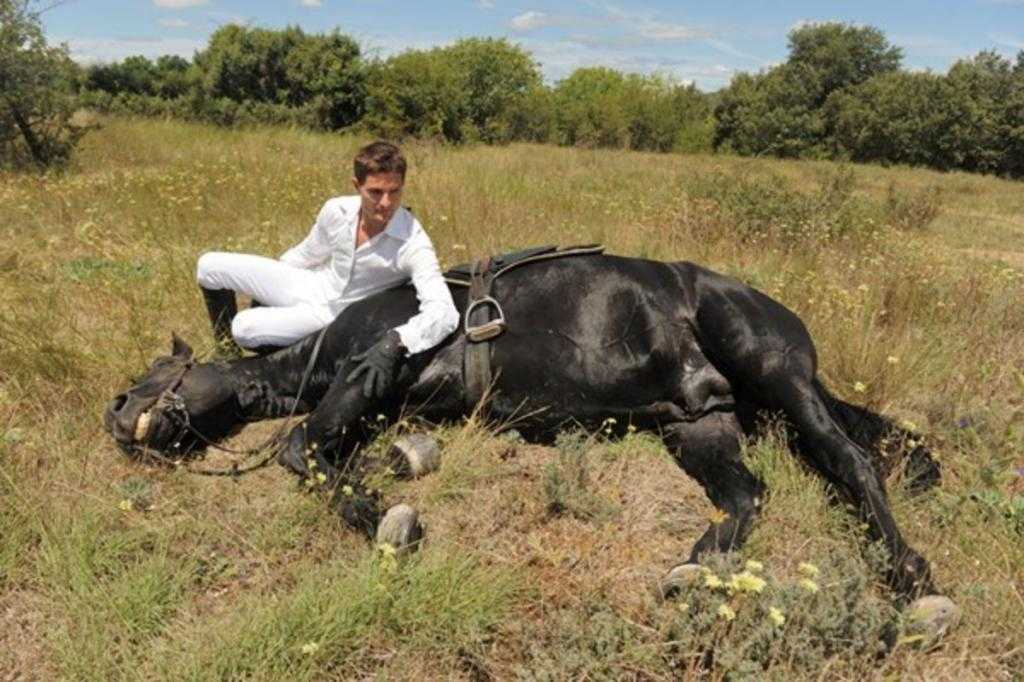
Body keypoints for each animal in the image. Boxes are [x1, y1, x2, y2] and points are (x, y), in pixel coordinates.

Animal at [103, 253, 950, 610]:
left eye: (152, 371)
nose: (114, 415)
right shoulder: (388, 403)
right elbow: (352, 448)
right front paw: (395, 479)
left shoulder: (374, 364)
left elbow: (298, 448)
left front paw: (388, 521)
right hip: (699, 422)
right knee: (747, 496)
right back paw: (693, 569)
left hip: (776, 375)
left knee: (851, 462)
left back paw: (910, 578)